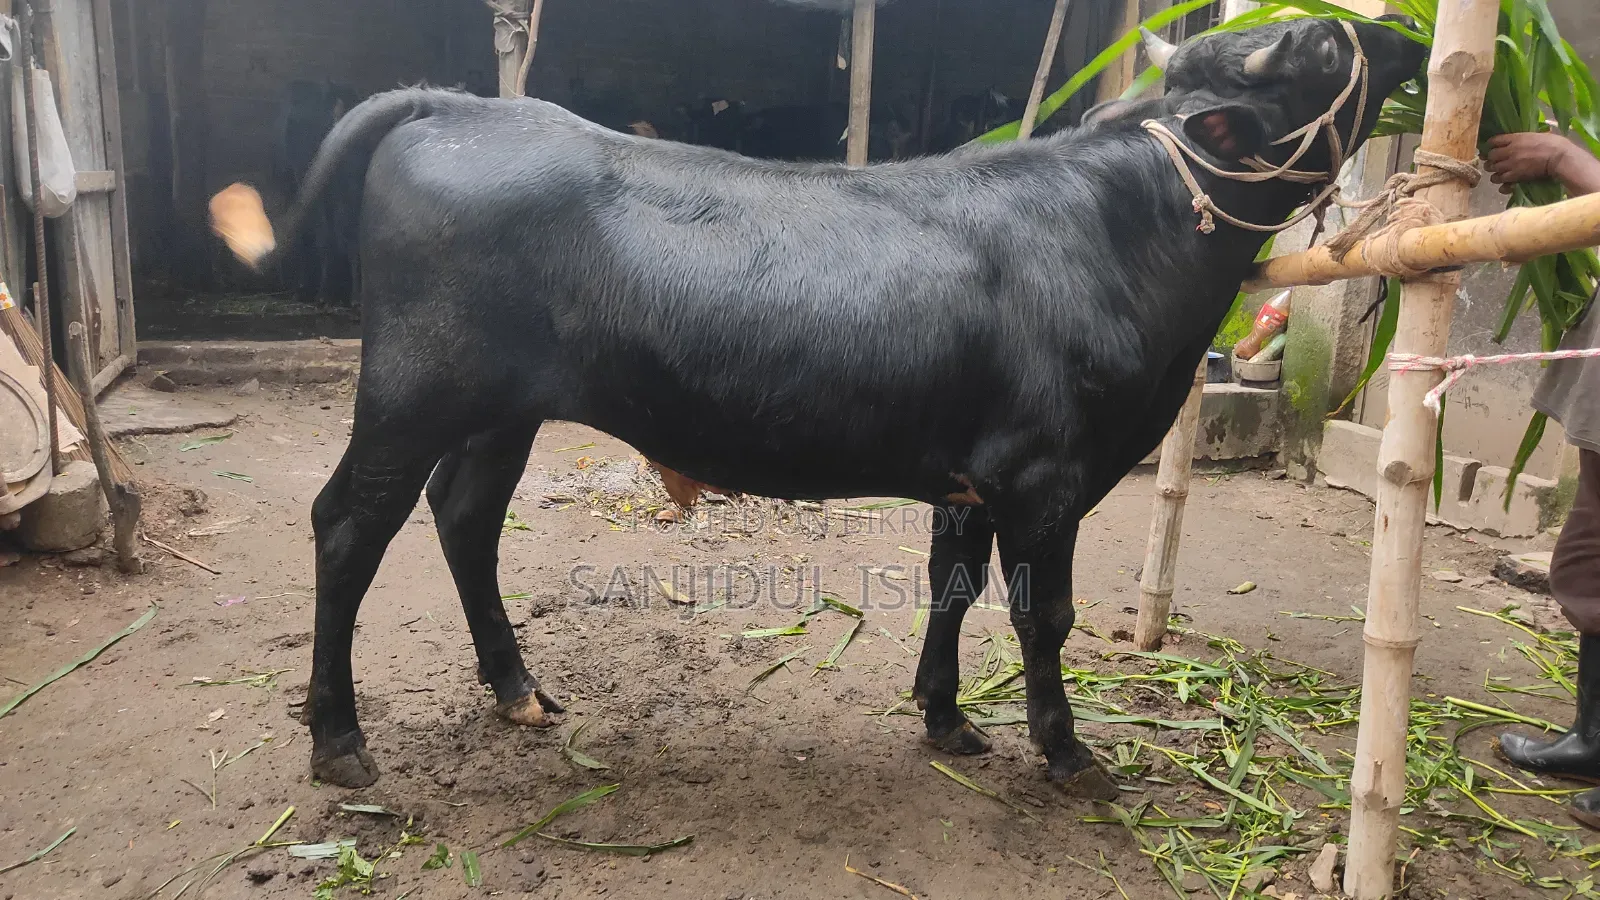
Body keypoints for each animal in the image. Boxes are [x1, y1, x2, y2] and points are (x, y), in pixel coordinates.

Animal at [209, 15, 1426, 794]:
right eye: (1322, 48)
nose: (1411, 38)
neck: (1122, 230)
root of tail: (460, 106)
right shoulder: (1047, 473)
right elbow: (1043, 614)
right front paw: (1069, 754)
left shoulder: (971, 472)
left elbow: (951, 587)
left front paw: (947, 720)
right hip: (412, 389)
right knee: (349, 525)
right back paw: (339, 741)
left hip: (498, 409)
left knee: (464, 516)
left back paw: (520, 691)